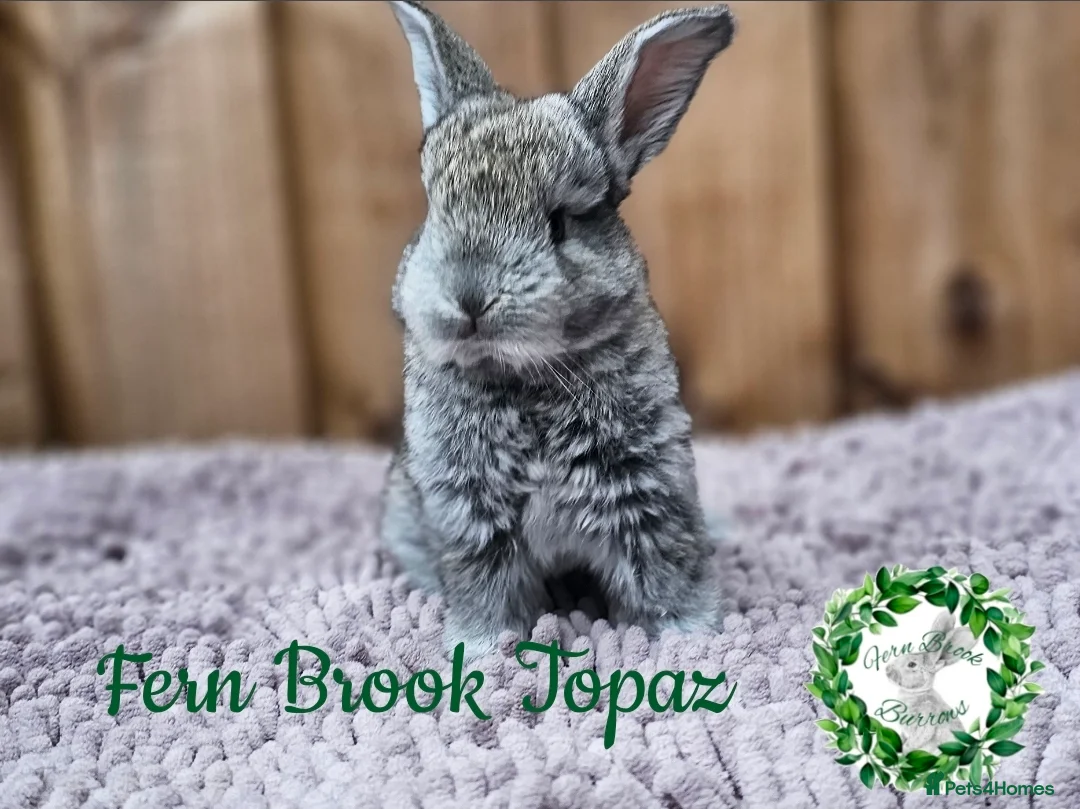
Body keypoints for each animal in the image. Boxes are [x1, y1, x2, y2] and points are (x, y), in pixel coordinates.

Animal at [379, 1, 737, 657]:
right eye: (434, 210)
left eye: (560, 222)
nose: (470, 296)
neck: (526, 377)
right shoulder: (471, 518)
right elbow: (488, 594)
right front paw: (484, 650)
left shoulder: (648, 493)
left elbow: (662, 575)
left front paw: (690, 640)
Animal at [885, 610, 979, 752]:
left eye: (911, 664)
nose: (887, 670)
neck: (916, 693)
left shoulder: (926, 719)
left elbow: (919, 737)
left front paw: (905, 751)